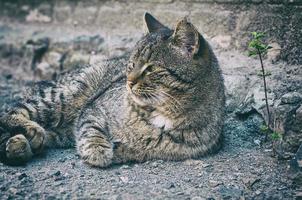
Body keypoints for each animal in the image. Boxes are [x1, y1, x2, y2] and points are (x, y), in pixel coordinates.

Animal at [0, 12, 224, 167]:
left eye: (151, 68)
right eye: (131, 64)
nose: (128, 82)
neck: (164, 114)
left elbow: (133, 150)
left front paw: (119, 149)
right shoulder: (93, 109)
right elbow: (92, 131)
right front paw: (99, 151)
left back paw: (19, 146)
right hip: (64, 96)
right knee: (11, 112)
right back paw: (28, 133)